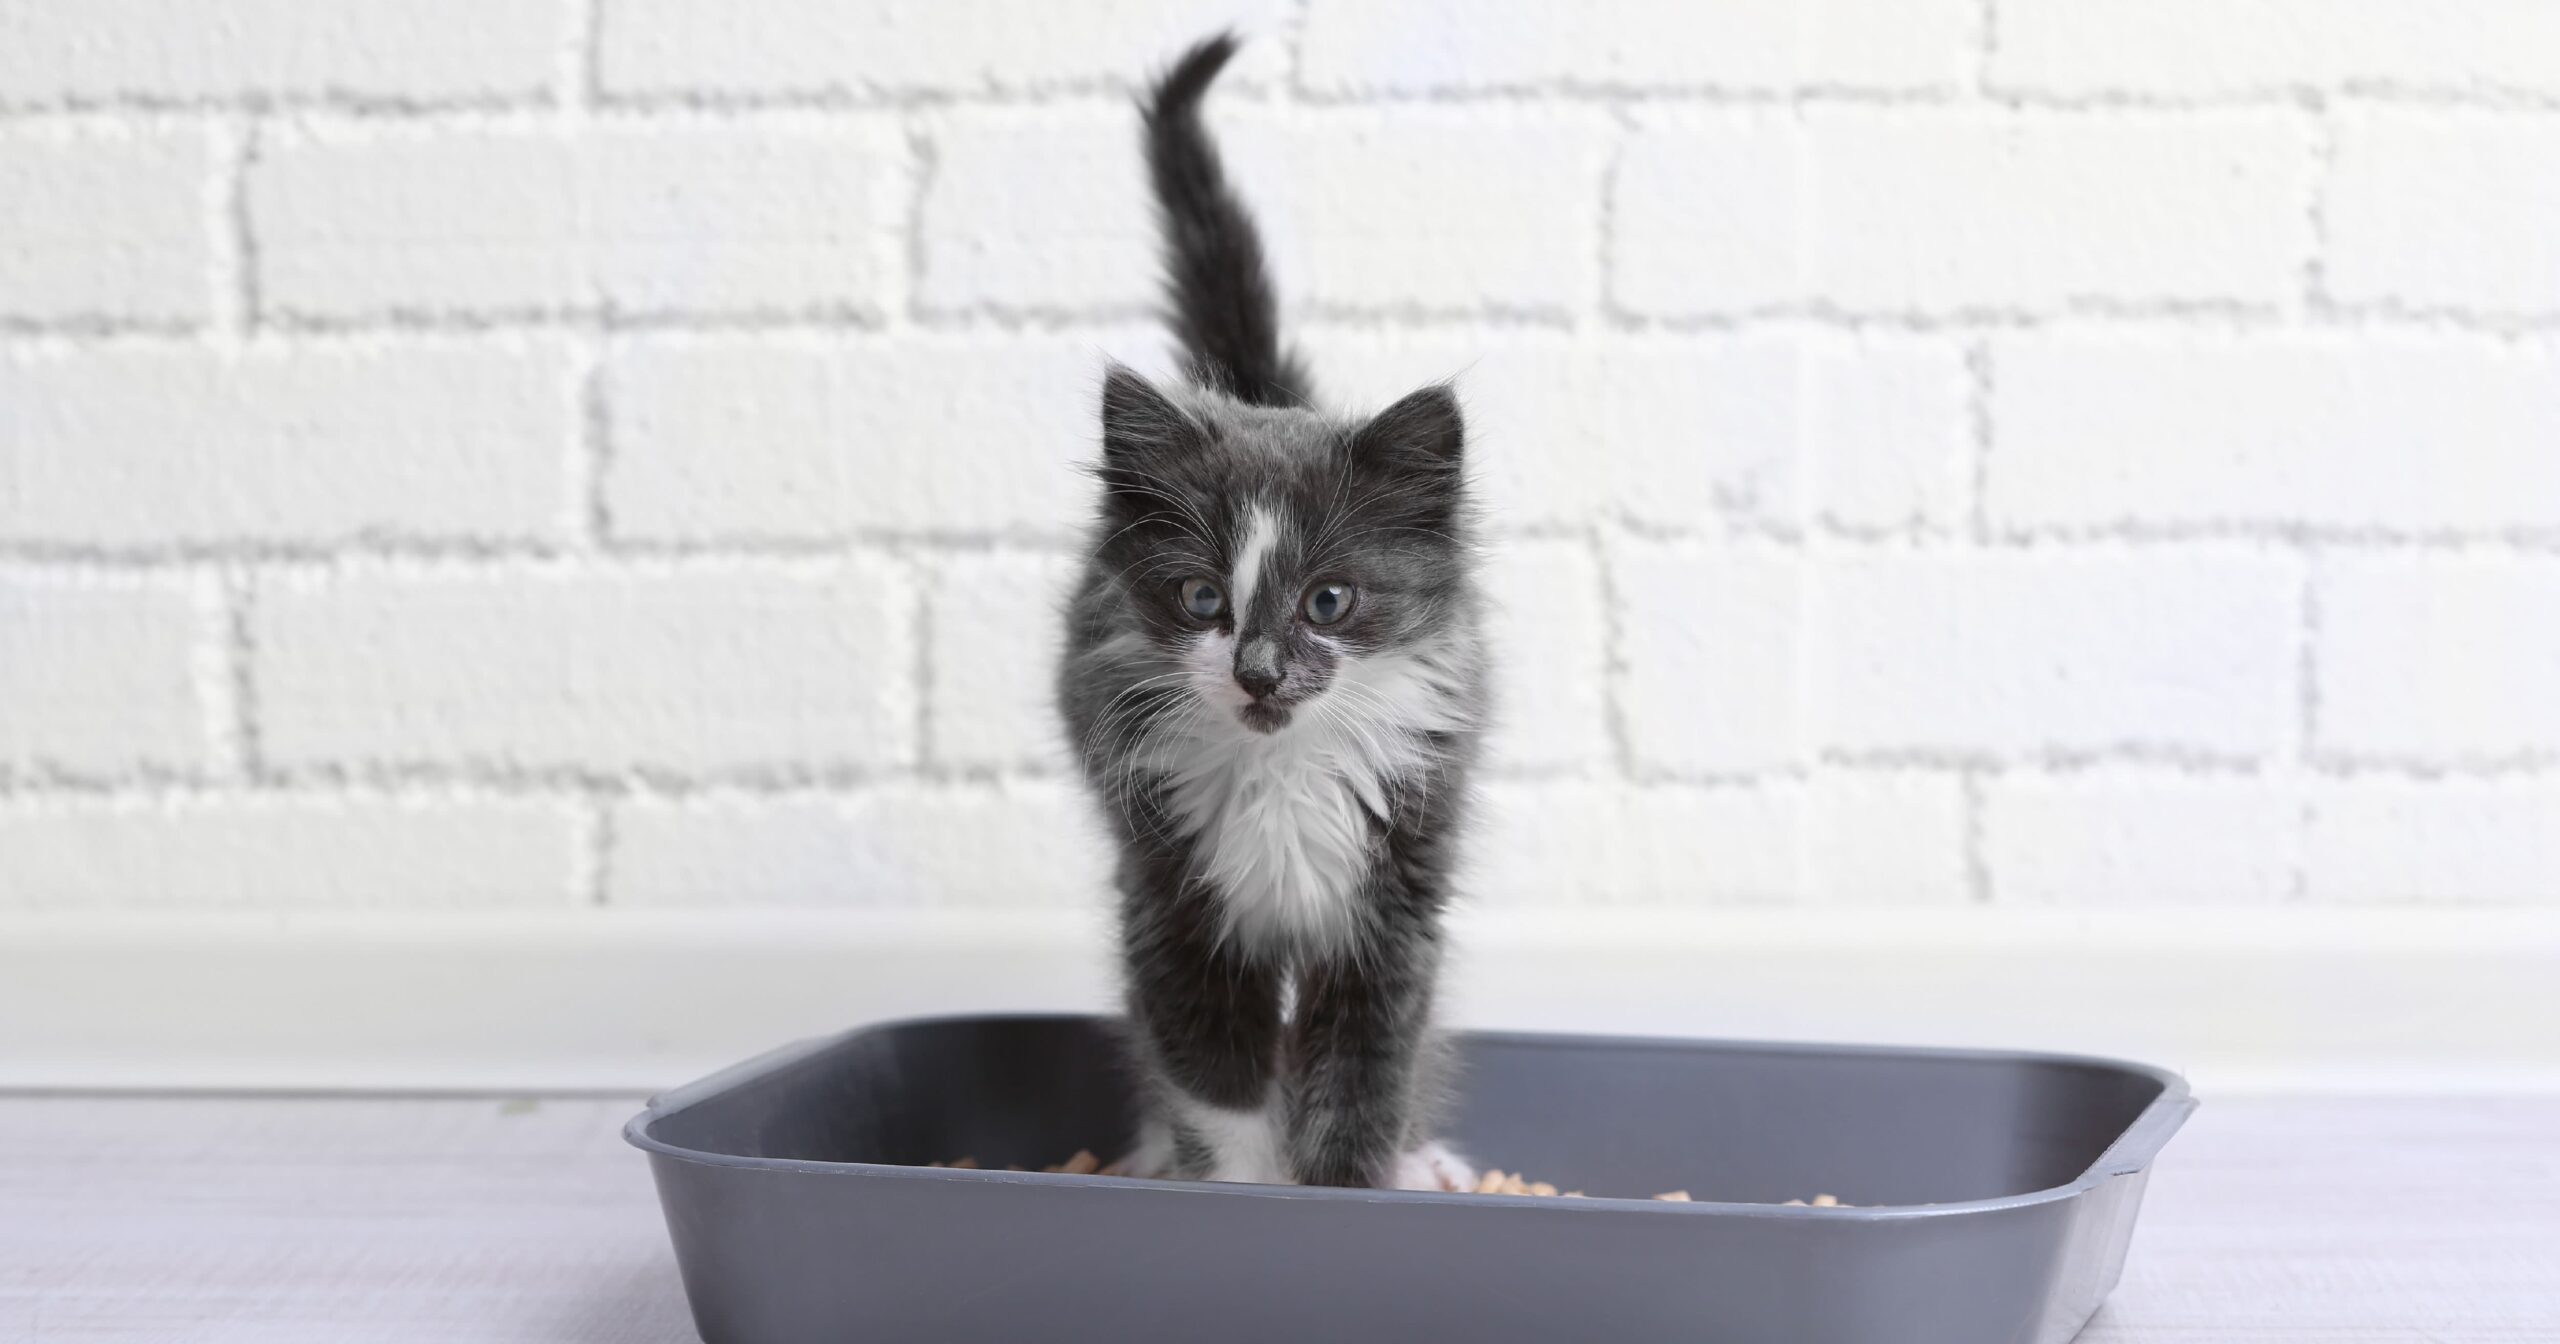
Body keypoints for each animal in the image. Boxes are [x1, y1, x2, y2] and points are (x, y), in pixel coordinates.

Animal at [1054, 28, 1495, 1182]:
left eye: (1328, 601)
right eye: (1201, 596)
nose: (1256, 671)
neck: (1284, 775)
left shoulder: (1395, 896)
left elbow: (1365, 1076)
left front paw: (1350, 1186)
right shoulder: (1168, 891)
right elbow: (1214, 1076)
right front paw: (1245, 1193)